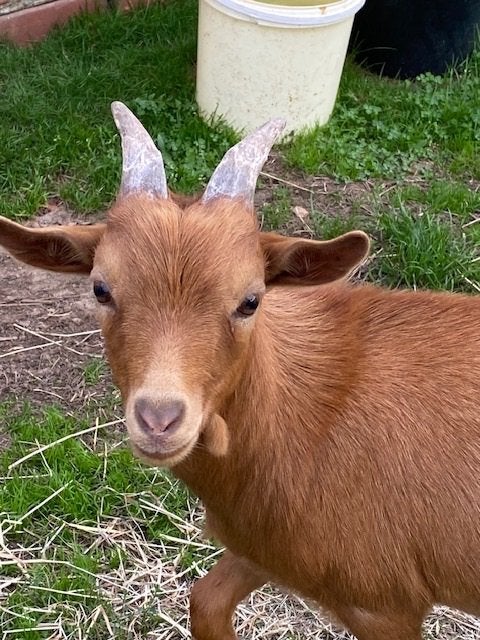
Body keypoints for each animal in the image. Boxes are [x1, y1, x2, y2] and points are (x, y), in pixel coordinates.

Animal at [1, 102, 479, 640]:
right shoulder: (261, 549)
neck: (311, 418)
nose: (160, 420)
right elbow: (206, 600)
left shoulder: (385, 604)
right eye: (100, 289)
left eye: (251, 300)